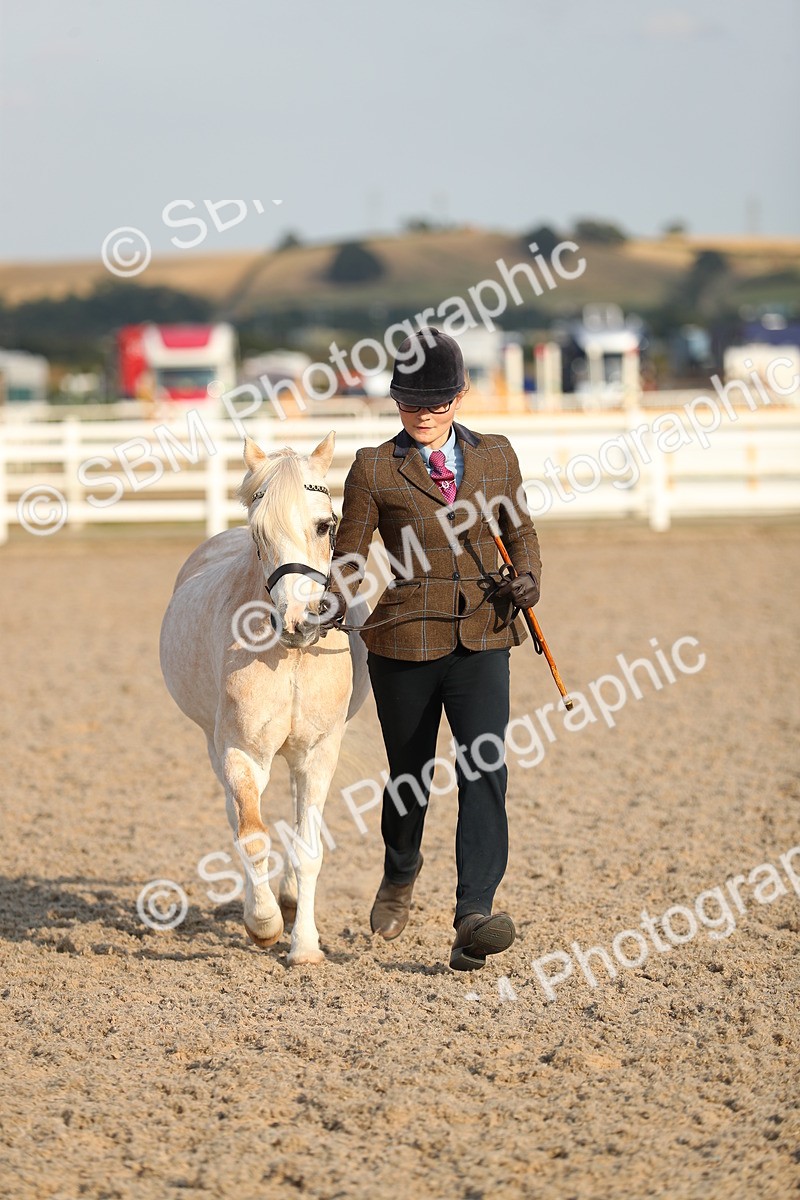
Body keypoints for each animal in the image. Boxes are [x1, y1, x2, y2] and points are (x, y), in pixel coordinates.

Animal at [159, 431, 369, 964]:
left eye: (324, 524)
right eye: (259, 534)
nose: (299, 621)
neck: (290, 658)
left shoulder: (318, 752)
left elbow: (308, 846)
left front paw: (305, 947)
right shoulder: (241, 752)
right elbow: (252, 836)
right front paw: (264, 924)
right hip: (215, 745)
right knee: (238, 814)